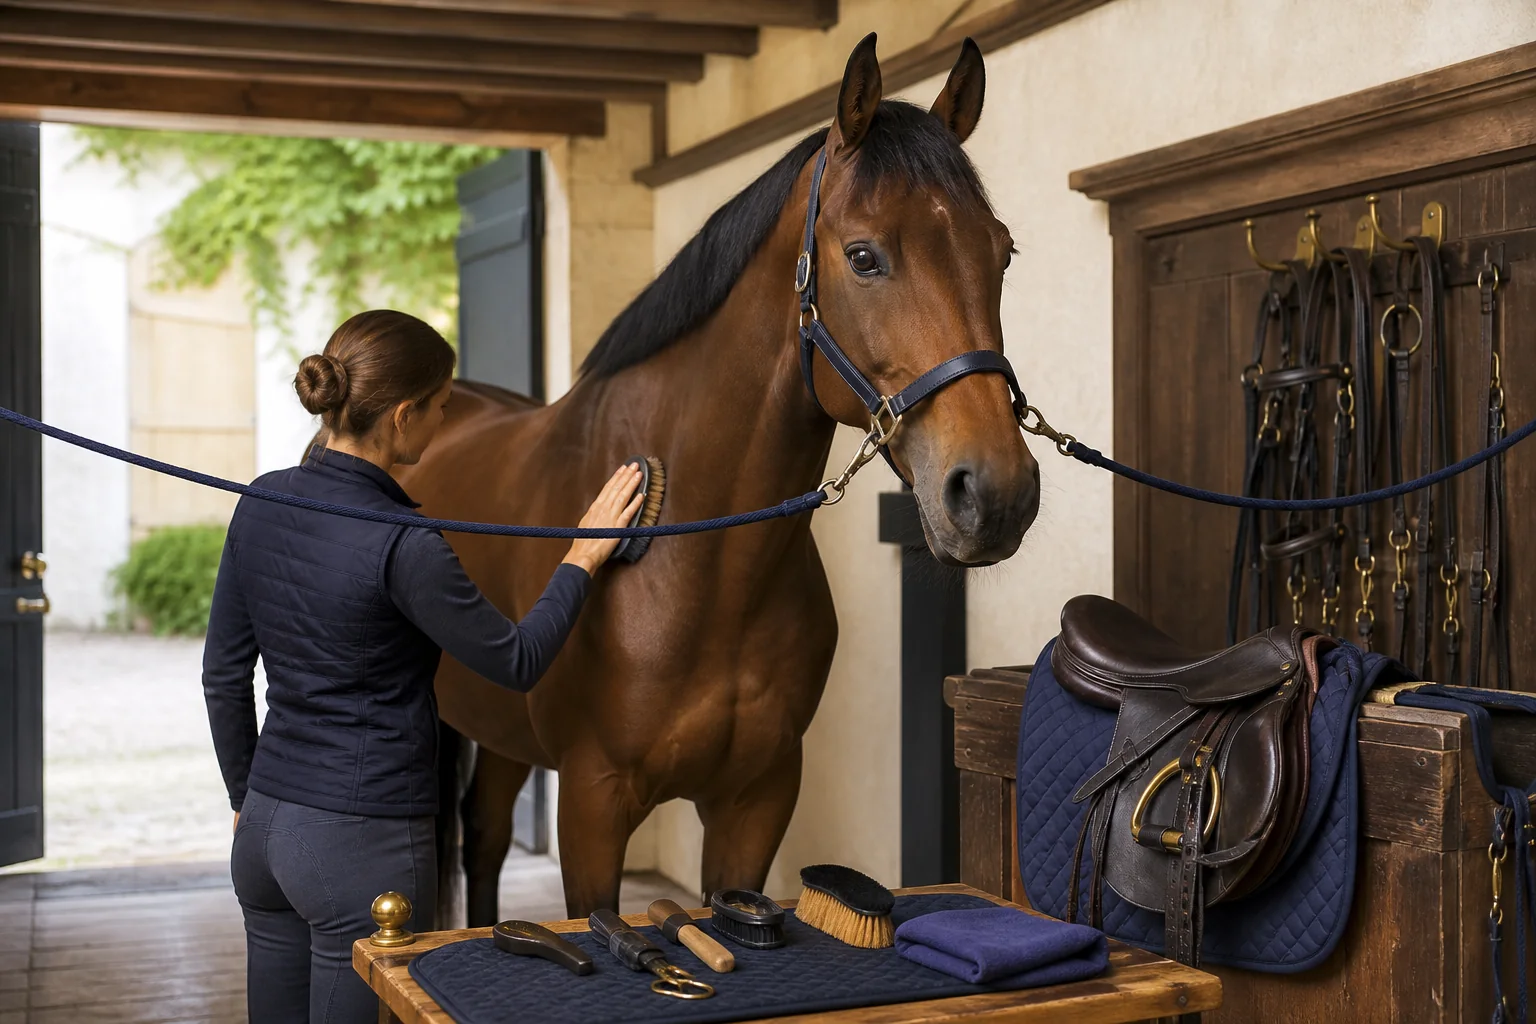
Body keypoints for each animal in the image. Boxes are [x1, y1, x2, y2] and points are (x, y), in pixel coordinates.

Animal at [397, 33, 1042, 923]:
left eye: (1002, 253)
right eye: (864, 256)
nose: (995, 492)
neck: (692, 556)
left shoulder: (756, 803)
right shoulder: (591, 806)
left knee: (487, 838)